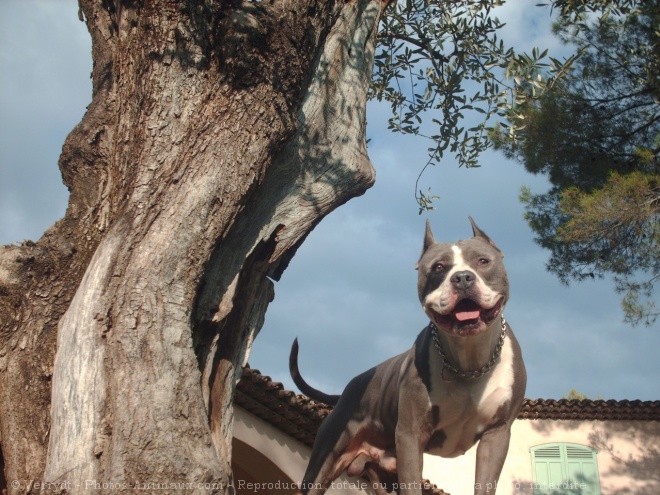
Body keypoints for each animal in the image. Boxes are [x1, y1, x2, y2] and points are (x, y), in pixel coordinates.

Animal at [288, 220, 524, 495]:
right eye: (438, 267)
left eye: (483, 261)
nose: (463, 278)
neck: (468, 361)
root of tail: (345, 392)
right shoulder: (411, 435)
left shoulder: (496, 435)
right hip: (325, 460)